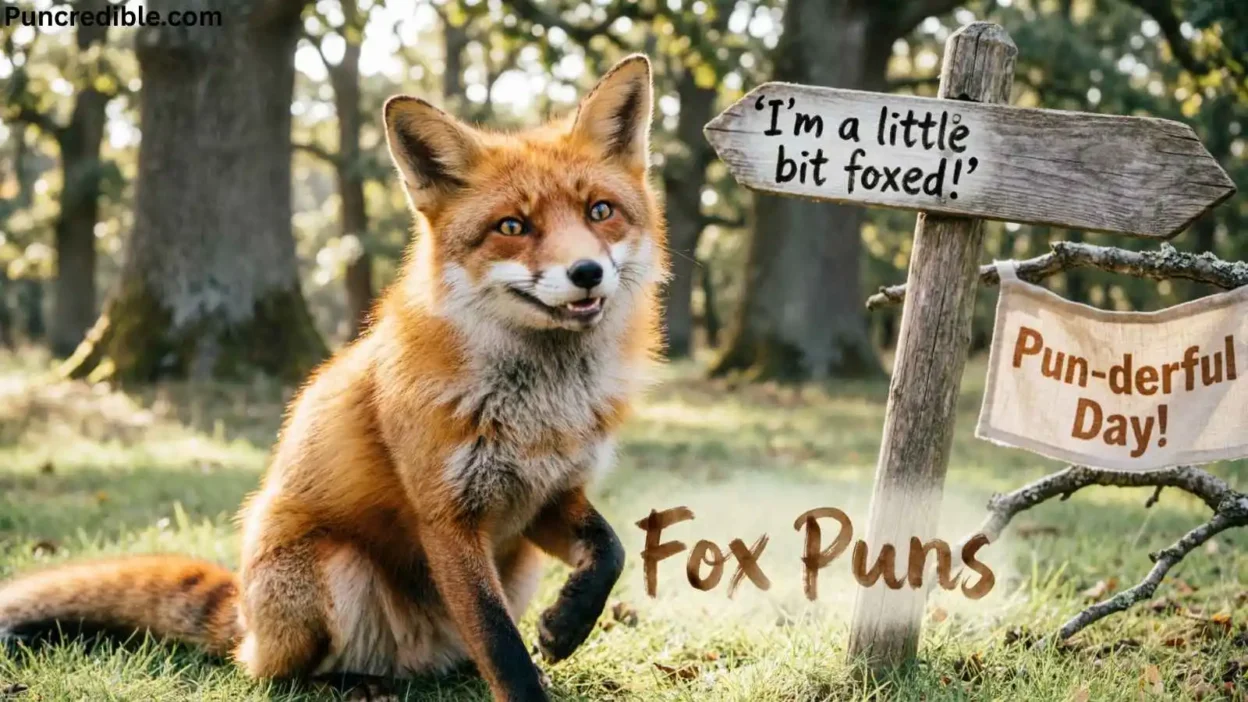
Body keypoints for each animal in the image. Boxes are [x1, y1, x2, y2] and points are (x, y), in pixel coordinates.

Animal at [0, 55, 666, 701]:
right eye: (511, 226)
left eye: (600, 212)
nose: (586, 272)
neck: (542, 408)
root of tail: (245, 620)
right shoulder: (448, 517)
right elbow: (499, 640)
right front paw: (529, 679)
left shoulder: (545, 499)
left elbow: (610, 551)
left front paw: (568, 622)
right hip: (332, 566)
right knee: (275, 675)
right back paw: (355, 683)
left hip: (518, 566)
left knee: (460, 654)